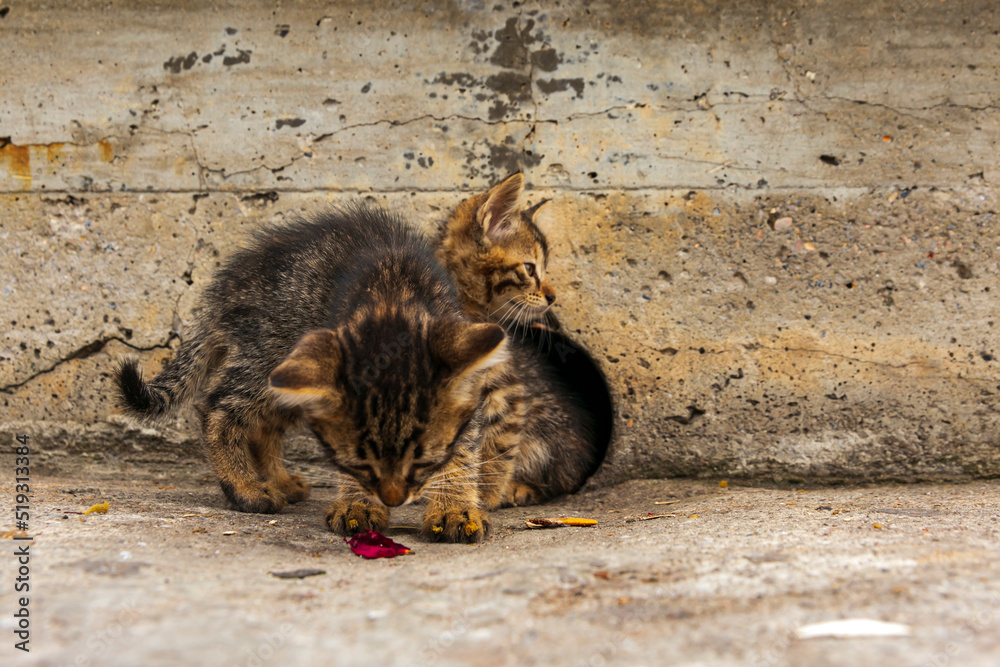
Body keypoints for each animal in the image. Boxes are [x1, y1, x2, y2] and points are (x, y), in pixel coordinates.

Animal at [113, 205, 508, 544]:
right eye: (360, 462)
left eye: (424, 458)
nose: (393, 498)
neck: (393, 302)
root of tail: (223, 290)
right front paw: (357, 504)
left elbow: (463, 452)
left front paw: (455, 509)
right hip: (269, 355)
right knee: (217, 406)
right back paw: (245, 487)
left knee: (263, 425)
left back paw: (278, 480)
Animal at [438, 175, 608, 508]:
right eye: (530, 268)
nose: (553, 297)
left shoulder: (510, 392)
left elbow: (496, 448)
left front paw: (484, 497)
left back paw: (519, 489)